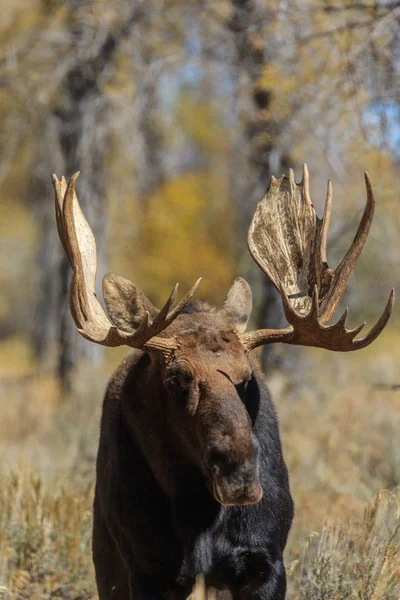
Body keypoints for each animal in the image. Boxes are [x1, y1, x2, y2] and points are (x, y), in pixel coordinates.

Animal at [52, 166, 394, 600]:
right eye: (177, 376)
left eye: (247, 376)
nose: (239, 474)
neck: (201, 516)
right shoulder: (147, 569)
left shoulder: (265, 560)